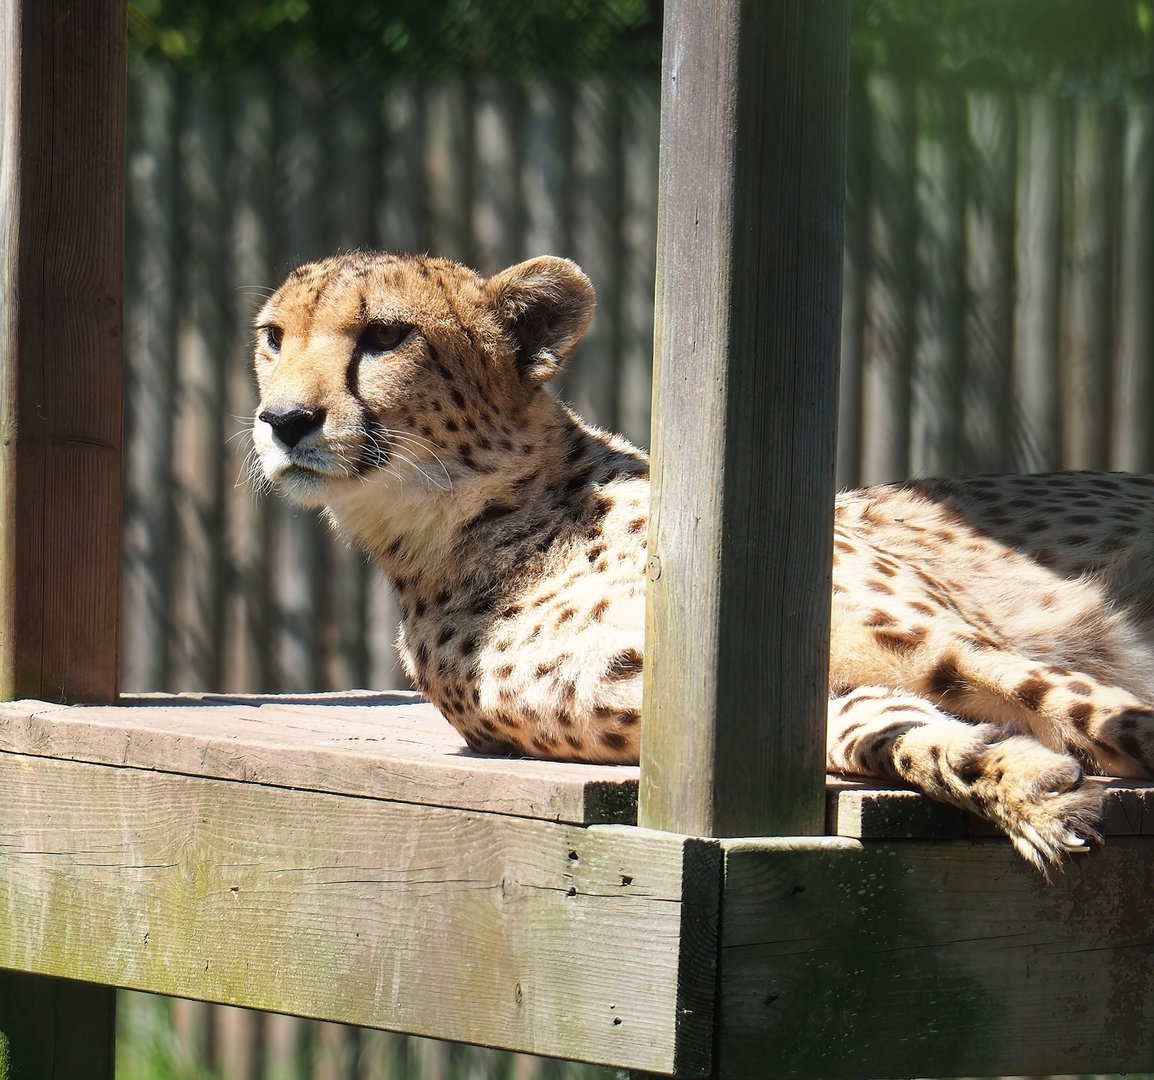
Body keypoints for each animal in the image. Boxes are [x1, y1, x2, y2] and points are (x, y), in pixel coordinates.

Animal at [251, 249, 1154, 876]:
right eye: (273, 338)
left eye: (385, 336)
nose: (282, 420)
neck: (492, 526)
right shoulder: (723, 711)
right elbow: (897, 733)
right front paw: (1025, 788)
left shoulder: (945, 641)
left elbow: (1078, 700)